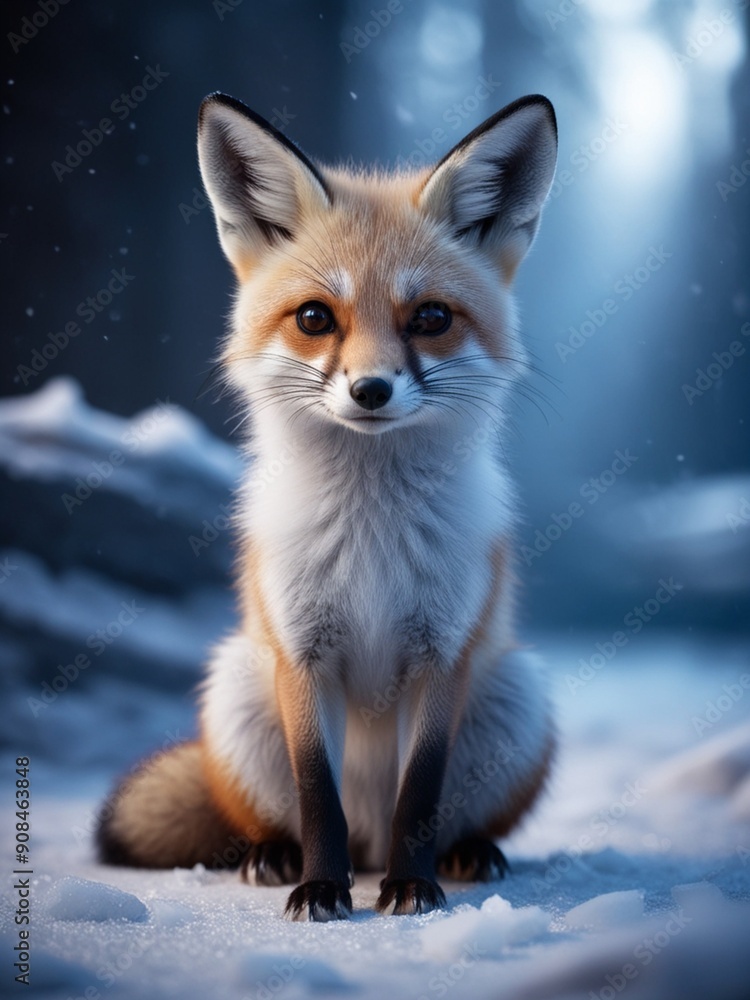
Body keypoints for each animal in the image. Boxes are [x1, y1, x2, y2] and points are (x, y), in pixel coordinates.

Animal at [97, 91, 559, 921]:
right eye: (316, 318)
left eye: (430, 318)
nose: (370, 390)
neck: (371, 537)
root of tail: (368, 846)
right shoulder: (303, 652)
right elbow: (318, 793)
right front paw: (320, 888)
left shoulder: (443, 653)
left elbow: (421, 795)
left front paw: (413, 889)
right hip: (238, 685)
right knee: (287, 819)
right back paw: (276, 857)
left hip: (516, 692)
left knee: (439, 820)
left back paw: (462, 855)